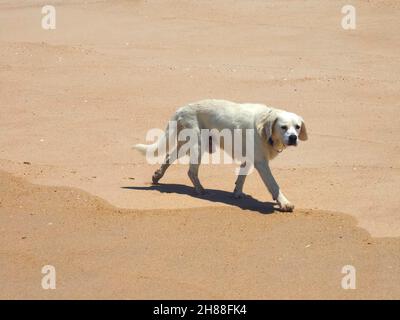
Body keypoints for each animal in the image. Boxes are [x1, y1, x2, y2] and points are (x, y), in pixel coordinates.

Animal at [133, 99, 308, 211]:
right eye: (283, 127)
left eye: (297, 127)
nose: (293, 138)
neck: (264, 128)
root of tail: (183, 108)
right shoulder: (261, 163)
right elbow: (274, 185)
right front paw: (284, 203)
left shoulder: (249, 159)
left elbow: (241, 178)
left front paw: (237, 193)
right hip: (198, 145)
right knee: (191, 171)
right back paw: (200, 190)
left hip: (188, 144)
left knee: (169, 157)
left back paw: (157, 175)